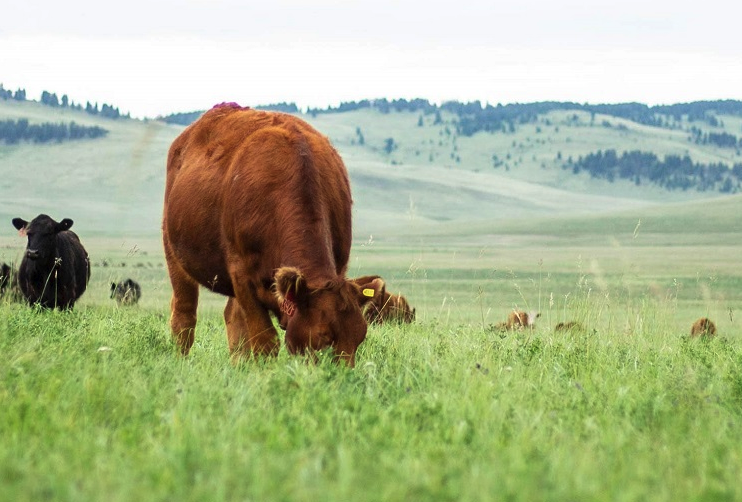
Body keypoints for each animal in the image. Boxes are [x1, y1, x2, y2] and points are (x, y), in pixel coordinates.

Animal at [162, 103, 378, 364]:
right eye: (322, 336)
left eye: (360, 336)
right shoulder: (242, 274)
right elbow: (265, 340)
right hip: (174, 251)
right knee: (184, 315)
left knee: (232, 316)